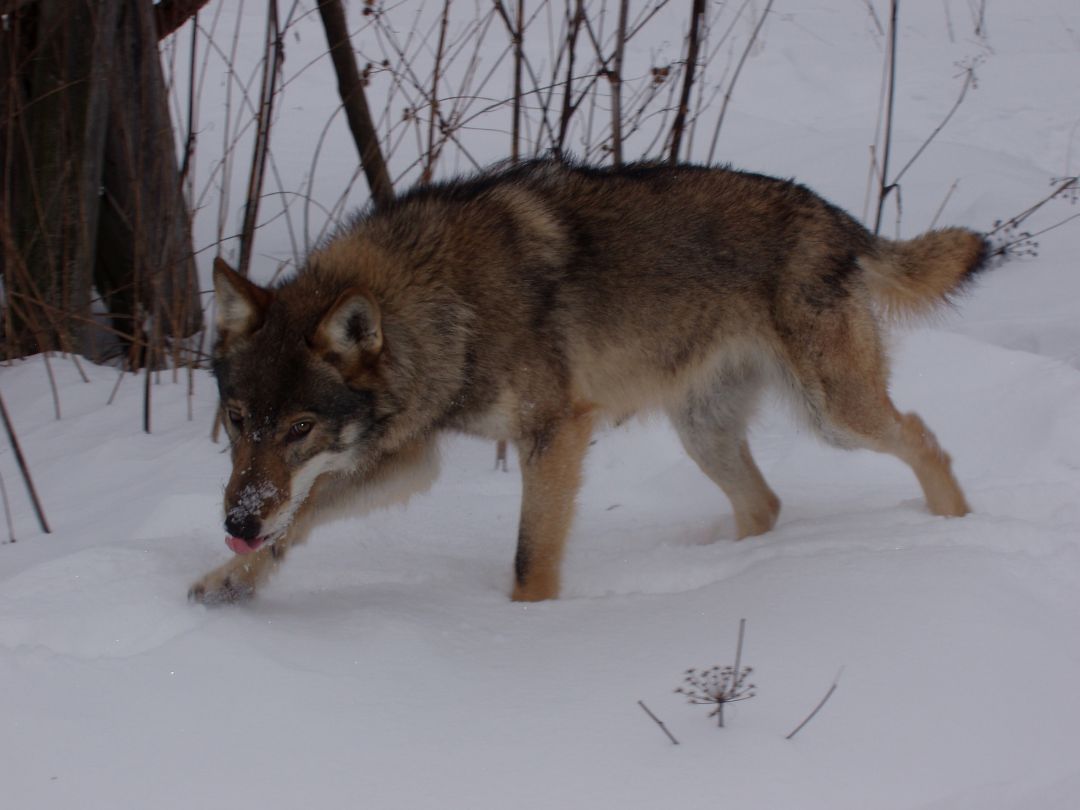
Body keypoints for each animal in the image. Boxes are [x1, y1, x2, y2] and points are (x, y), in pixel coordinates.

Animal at [190, 158, 989, 604]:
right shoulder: (411, 454)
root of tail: (836, 217)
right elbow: (304, 513)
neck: (443, 300)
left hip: (835, 416)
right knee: (765, 503)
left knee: (924, 436)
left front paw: (528, 631)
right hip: (705, 432)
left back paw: (955, 532)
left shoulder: (554, 432)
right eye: (238, 420)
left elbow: (529, 559)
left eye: (301, 428)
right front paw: (228, 582)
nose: (235, 522)